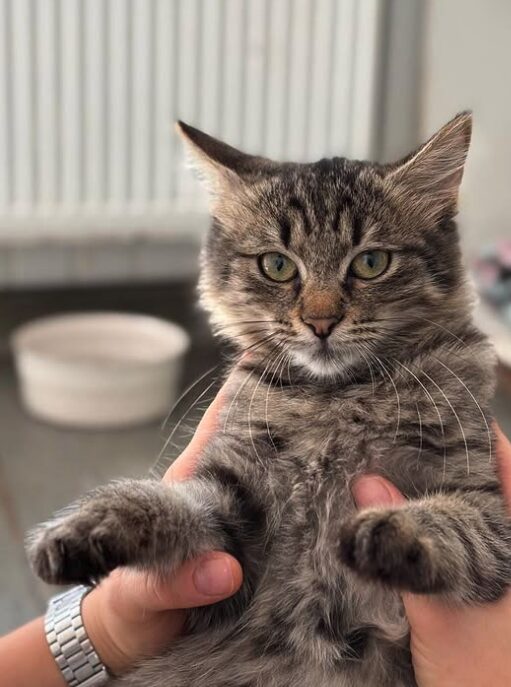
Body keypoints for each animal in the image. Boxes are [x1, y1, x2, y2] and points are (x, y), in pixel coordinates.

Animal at [29, 113, 511, 687]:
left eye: (371, 262)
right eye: (278, 266)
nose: (321, 322)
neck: (338, 396)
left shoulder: (484, 504)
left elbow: (452, 523)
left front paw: (388, 531)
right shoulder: (235, 512)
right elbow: (164, 501)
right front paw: (89, 526)